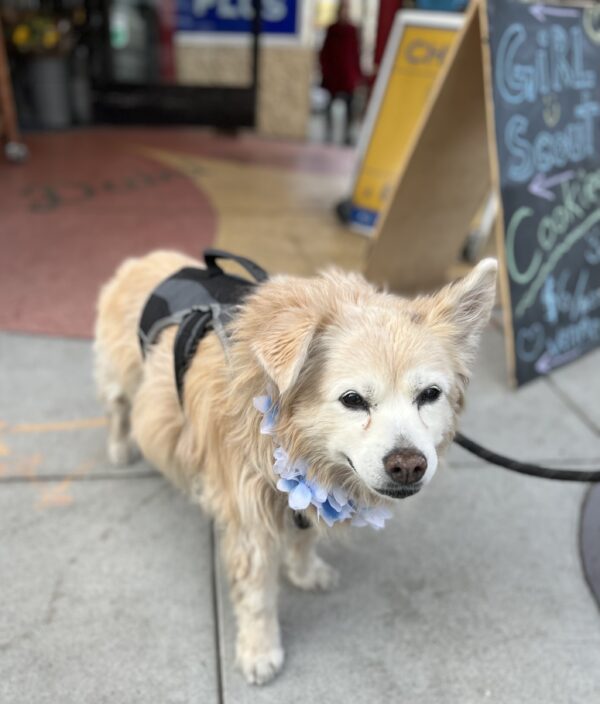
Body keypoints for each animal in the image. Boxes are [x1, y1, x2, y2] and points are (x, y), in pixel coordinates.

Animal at [94, 250, 496, 684]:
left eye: (430, 394)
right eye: (352, 400)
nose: (408, 465)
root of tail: (146, 259)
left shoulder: (308, 498)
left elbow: (304, 539)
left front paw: (304, 572)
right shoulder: (250, 523)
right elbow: (257, 597)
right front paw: (260, 651)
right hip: (121, 377)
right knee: (118, 408)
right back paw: (119, 447)